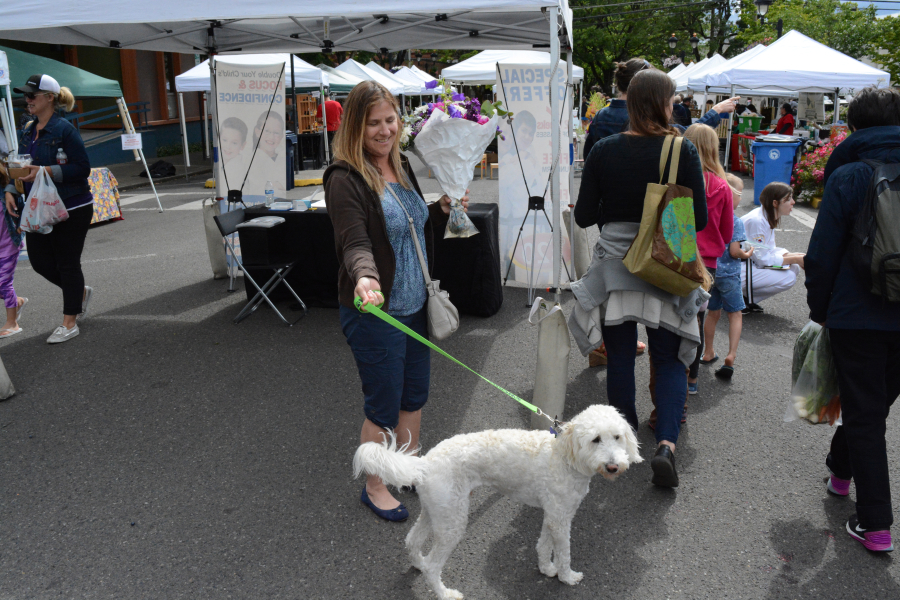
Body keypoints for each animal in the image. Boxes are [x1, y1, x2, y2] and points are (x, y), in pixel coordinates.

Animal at [352, 404, 640, 600]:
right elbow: (564, 553)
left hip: (438, 511)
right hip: (453, 522)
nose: (614, 466)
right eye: (595, 439)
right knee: (434, 567)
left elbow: (543, 545)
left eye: (617, 437)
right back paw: (445, 593)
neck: (565, 457)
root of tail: (424, 463)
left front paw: (546, 569)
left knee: (413, 541)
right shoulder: (560, 518)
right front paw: (567, 577)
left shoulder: (554, 514)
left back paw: (419, 565)